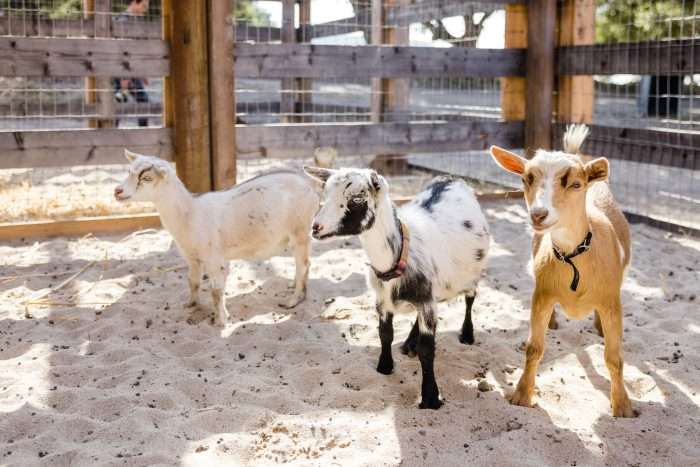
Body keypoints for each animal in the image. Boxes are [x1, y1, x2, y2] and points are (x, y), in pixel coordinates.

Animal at [115, 150, 320, 325]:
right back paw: (299, 291)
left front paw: (221, 321)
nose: (117, 191)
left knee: (303, 265)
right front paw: (190, 304)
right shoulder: (192, 258)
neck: (190, 213)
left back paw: (293, 300)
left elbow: (216, 291)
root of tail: (309, 184)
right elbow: (193, 282)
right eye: (129, 172)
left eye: (146, 178)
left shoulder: (214, 259)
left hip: (301, 231)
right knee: (304, 265)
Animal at [304, 167, 490, 409]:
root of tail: (450, 178)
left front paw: (430, 398)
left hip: (472, 275)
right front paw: (385, 366)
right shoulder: (383, 301)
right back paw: (410, 343)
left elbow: (427, 350)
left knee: (470, 299)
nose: (316, 228)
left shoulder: (426, 301)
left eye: (357, 198)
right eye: (325, 195)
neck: (399, 255)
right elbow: (385, 334)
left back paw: (467, 335)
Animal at [489, 125, 635, 417]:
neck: (573, 257)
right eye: (527, 179)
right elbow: (534, 347)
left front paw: (622, 406)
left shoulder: (611, 300)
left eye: (575, 184)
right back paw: (554, 321)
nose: (538, 214)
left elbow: (614, 357)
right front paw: (522, 395)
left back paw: (599, 327)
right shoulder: (542, 294)